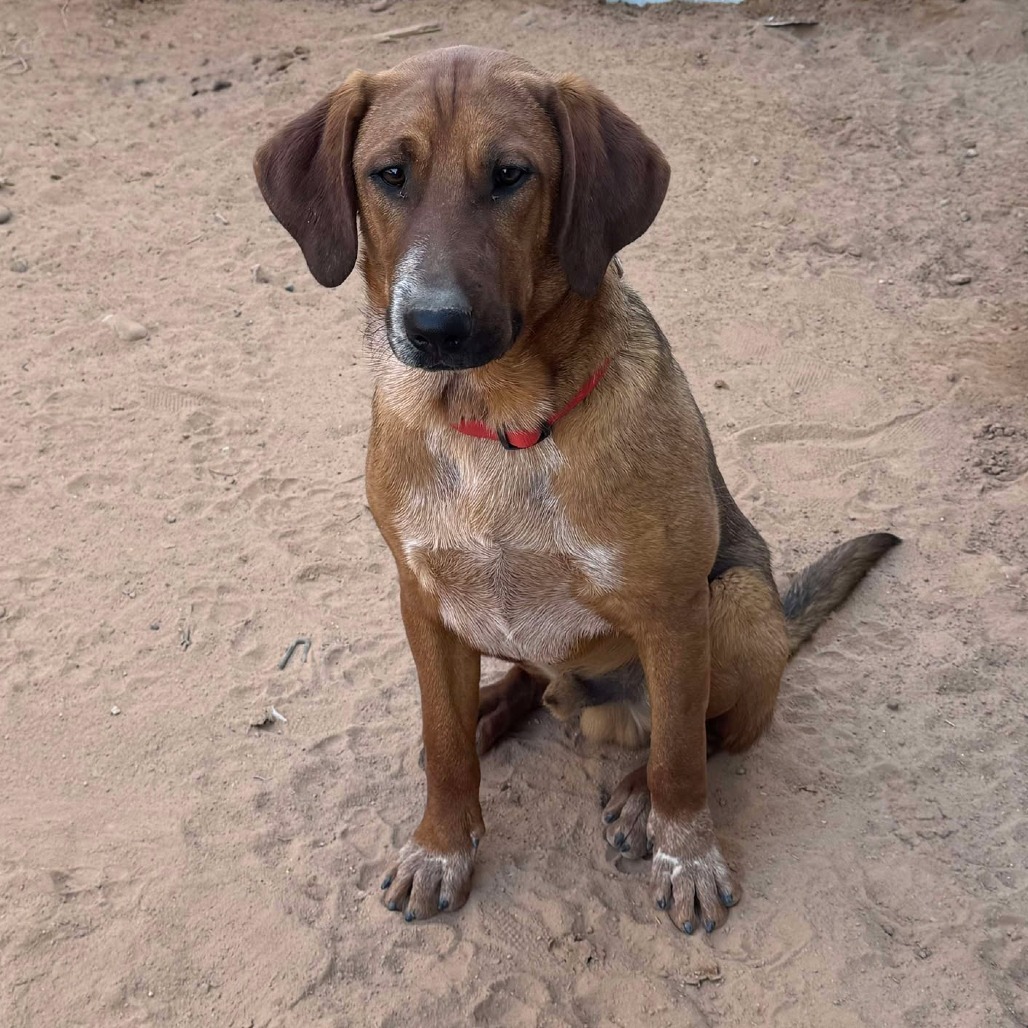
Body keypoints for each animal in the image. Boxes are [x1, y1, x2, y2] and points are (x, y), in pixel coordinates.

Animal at [252, 46, 896, 933]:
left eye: (510, 175)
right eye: (389, 174)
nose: (435, 328)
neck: (500, 420)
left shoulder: (673, 611)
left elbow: (682, 762)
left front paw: (685, 851)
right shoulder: (422, 598)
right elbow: (444, 750)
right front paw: (441, 844)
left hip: (734, 608)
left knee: (704, 734)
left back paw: (635, 796)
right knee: (528, 680)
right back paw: (494, 706)